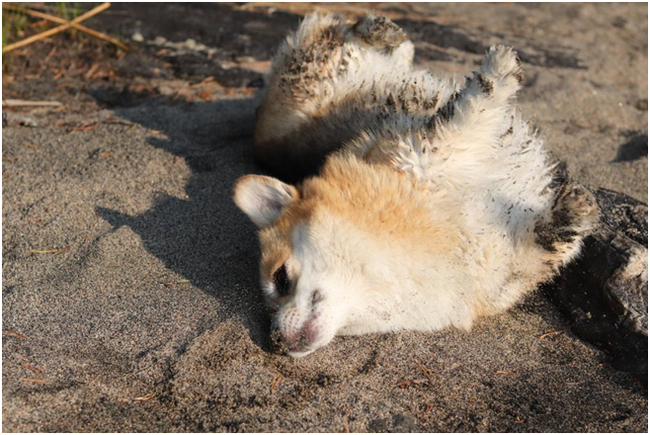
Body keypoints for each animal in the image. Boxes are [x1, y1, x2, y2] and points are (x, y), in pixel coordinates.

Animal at [230, 12, 596, 358]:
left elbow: (471, 107)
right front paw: (574, 212)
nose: (275, 343)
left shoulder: (423, 155)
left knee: (352, 40)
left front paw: (498, 70)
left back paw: (384, 32)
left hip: (309, 85)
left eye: (280, 279)